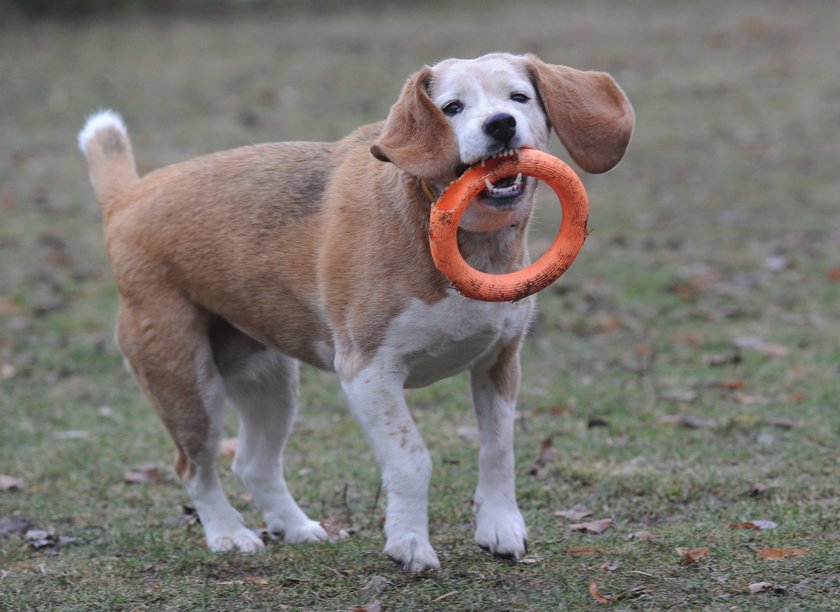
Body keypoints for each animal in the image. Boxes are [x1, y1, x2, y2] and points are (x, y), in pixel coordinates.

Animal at [79, 52, 632, 572]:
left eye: (519, 97)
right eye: (452, 107)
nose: (500, 124)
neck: (467, 241)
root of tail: (128, 198)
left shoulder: (499, 361)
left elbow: (499, 449)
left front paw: (500, 527)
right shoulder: (369, 374)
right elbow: (412, 460)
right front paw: (409, 544)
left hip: (268, 381)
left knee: (253, 464)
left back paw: (295, 527)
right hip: (185, 382)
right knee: (195, 469)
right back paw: (228, 533)